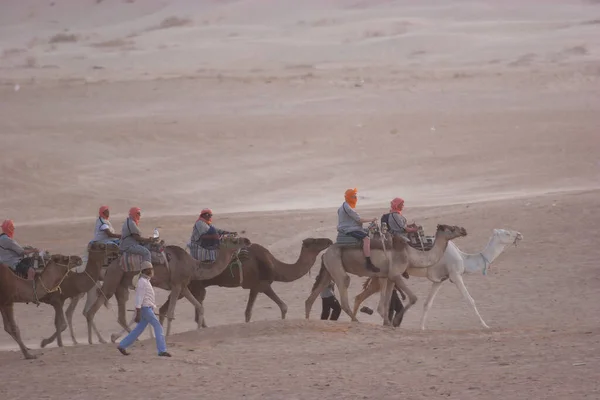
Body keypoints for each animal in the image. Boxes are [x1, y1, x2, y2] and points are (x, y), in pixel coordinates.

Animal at [84, 234, 251, 344]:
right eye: (234, 240)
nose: (247, 240)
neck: (194, 266)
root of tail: (110, 262)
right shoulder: (177, 285)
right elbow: (171, 313)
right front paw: (168, 335)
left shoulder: (183, 286)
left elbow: (199, 306)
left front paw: (199, 330)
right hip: (113, 280)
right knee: (93, 310)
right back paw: (99, 341)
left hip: (121, 286)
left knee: (120, 315)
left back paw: (122, 338)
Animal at [159, 239, 336, 326]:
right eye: (315, 241)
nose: (328, 240)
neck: (276, 266)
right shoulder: (262, 285)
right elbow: (283, 306)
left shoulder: (254, 287)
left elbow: (249, 312)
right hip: (191, 285)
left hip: (194, 288)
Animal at [304, 223, 468, 326]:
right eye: (451, 228)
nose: (463, 230)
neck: (411, 254)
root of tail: (325, 253)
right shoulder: (396, 274)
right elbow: (413, 298)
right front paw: (394, 322)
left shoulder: (388, 277)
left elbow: (386, 303)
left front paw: (387, 323)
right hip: (336, 265)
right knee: (344, 286)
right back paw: (356, 321)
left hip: (329, 270)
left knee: (312, 297)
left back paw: (307, 320)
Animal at [354, 228, 524, 328]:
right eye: (507, 233)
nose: (520, 234)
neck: (464, 258)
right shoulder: (455, 275)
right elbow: (470, 300)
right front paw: (485, 325)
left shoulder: (439, 280)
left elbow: (427, 304)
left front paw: (421, 328)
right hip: (382, 274)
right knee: (364, 296)